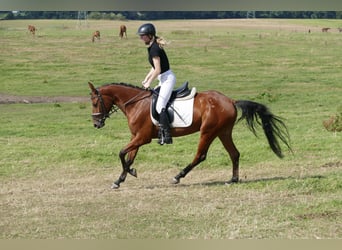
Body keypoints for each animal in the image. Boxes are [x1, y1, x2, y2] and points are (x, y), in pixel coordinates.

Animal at [88, 81, 292, 188]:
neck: (136, 103)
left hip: (208, 131)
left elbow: (122, 153)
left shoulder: (142, 138)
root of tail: (230, 101)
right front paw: (121, 178)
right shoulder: (136, 137)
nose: (96, 124)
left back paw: (178, 176)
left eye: (95, 103)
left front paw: (127, 174)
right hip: (223, 132)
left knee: (200, 155)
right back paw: (233, 179)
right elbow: (129, 157)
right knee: (234, 153)